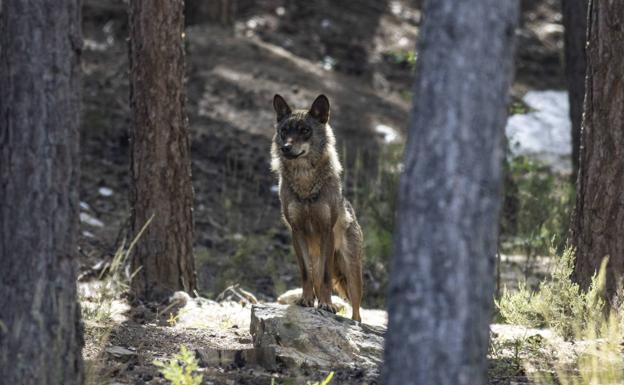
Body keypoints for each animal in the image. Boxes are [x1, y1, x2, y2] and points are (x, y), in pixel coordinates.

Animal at [270, 94, 364, 320]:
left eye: (305, 130)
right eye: (284, 130)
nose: (286, 147)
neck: (305, 183)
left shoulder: (326, 231)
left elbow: (326, 278)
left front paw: (326, 304)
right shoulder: (296, 232)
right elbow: (306, 274)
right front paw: (306, 300)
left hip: (352, 272)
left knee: (356, 309)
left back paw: (352, 321)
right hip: (316, 255)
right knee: (314, 277)